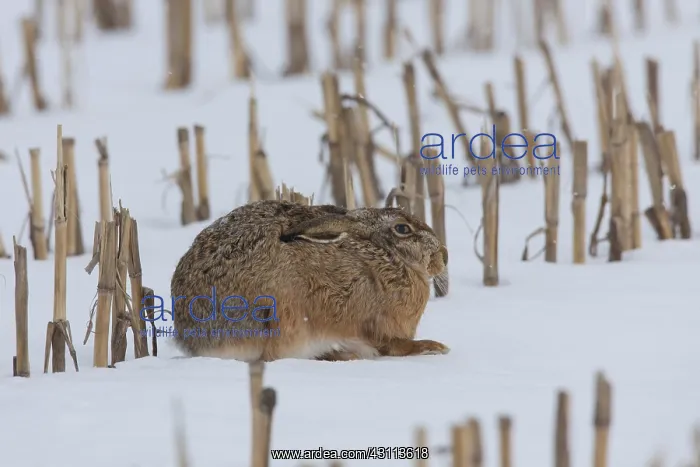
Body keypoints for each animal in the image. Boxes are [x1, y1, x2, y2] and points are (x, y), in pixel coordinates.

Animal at [169, 199, 449, 362]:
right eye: (403, 229)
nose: (443, 256)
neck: (389, 255)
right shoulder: (375, 324)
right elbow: (393, 345)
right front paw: (434, 347)